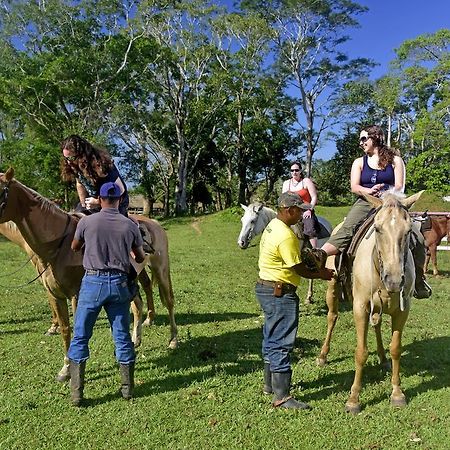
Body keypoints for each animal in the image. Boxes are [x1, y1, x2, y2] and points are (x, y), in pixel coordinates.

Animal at [0, 169, 178, 384]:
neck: (60, 245)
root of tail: (154, 223)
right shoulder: (55, 295)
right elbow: (66, 330)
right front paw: (66, 369)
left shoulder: (77, 295)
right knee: (138, 305)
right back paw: (135, 340)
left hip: (161, 268)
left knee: (168, 301)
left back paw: (173, 340)